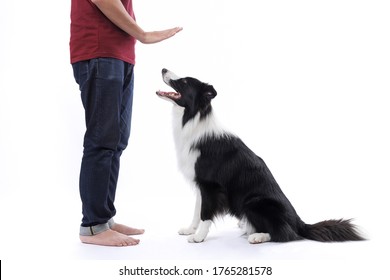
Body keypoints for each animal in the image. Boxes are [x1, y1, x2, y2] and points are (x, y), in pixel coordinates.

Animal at [155, 69, 362, 244]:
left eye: (184, 81)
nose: (163, 69)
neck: (192, 118)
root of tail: (299, 223)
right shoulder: (200, 183)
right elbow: (197, 210)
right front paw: (190, 230)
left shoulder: (210, 186)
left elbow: (205, 213)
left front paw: (198, 238)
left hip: (254, 202)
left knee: (285, 233)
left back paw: (258, 236)